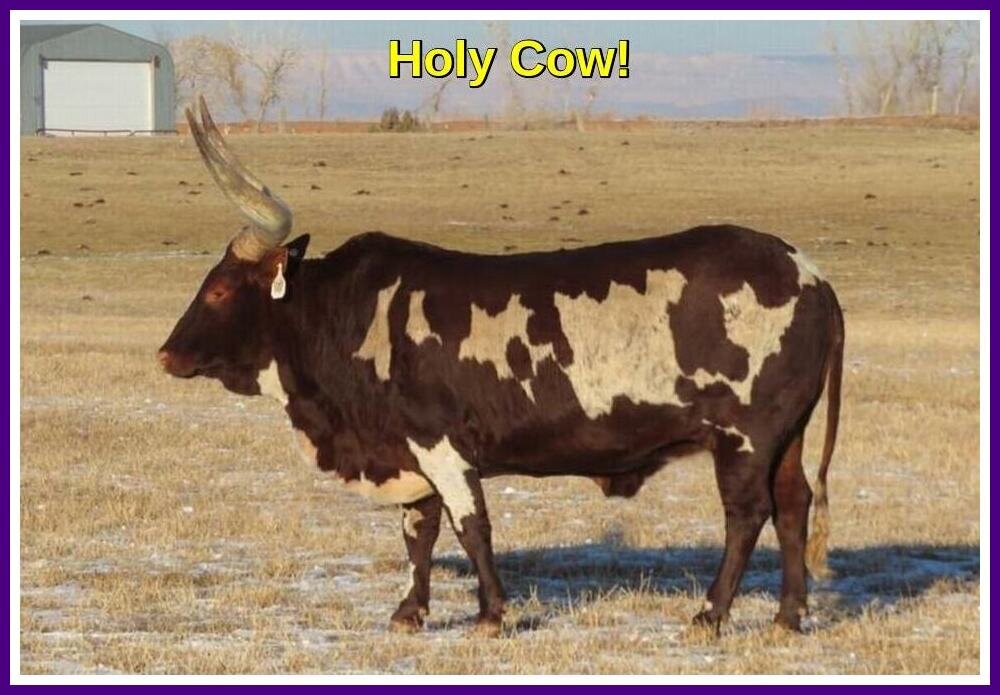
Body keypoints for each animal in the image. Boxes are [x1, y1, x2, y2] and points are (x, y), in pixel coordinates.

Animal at [159, 98, 844, 637]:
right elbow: (419, 530)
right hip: (785, 436)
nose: (166, 354)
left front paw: (491, 614)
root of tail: (810, 274)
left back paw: (710, 614)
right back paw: (787, 618)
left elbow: (471, 527)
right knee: (793, 505)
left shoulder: (441, 444)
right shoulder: (410, 452)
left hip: (744, 437)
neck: (353, 317)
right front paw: (410, 611)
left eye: (220, 289)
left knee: (747, 513)